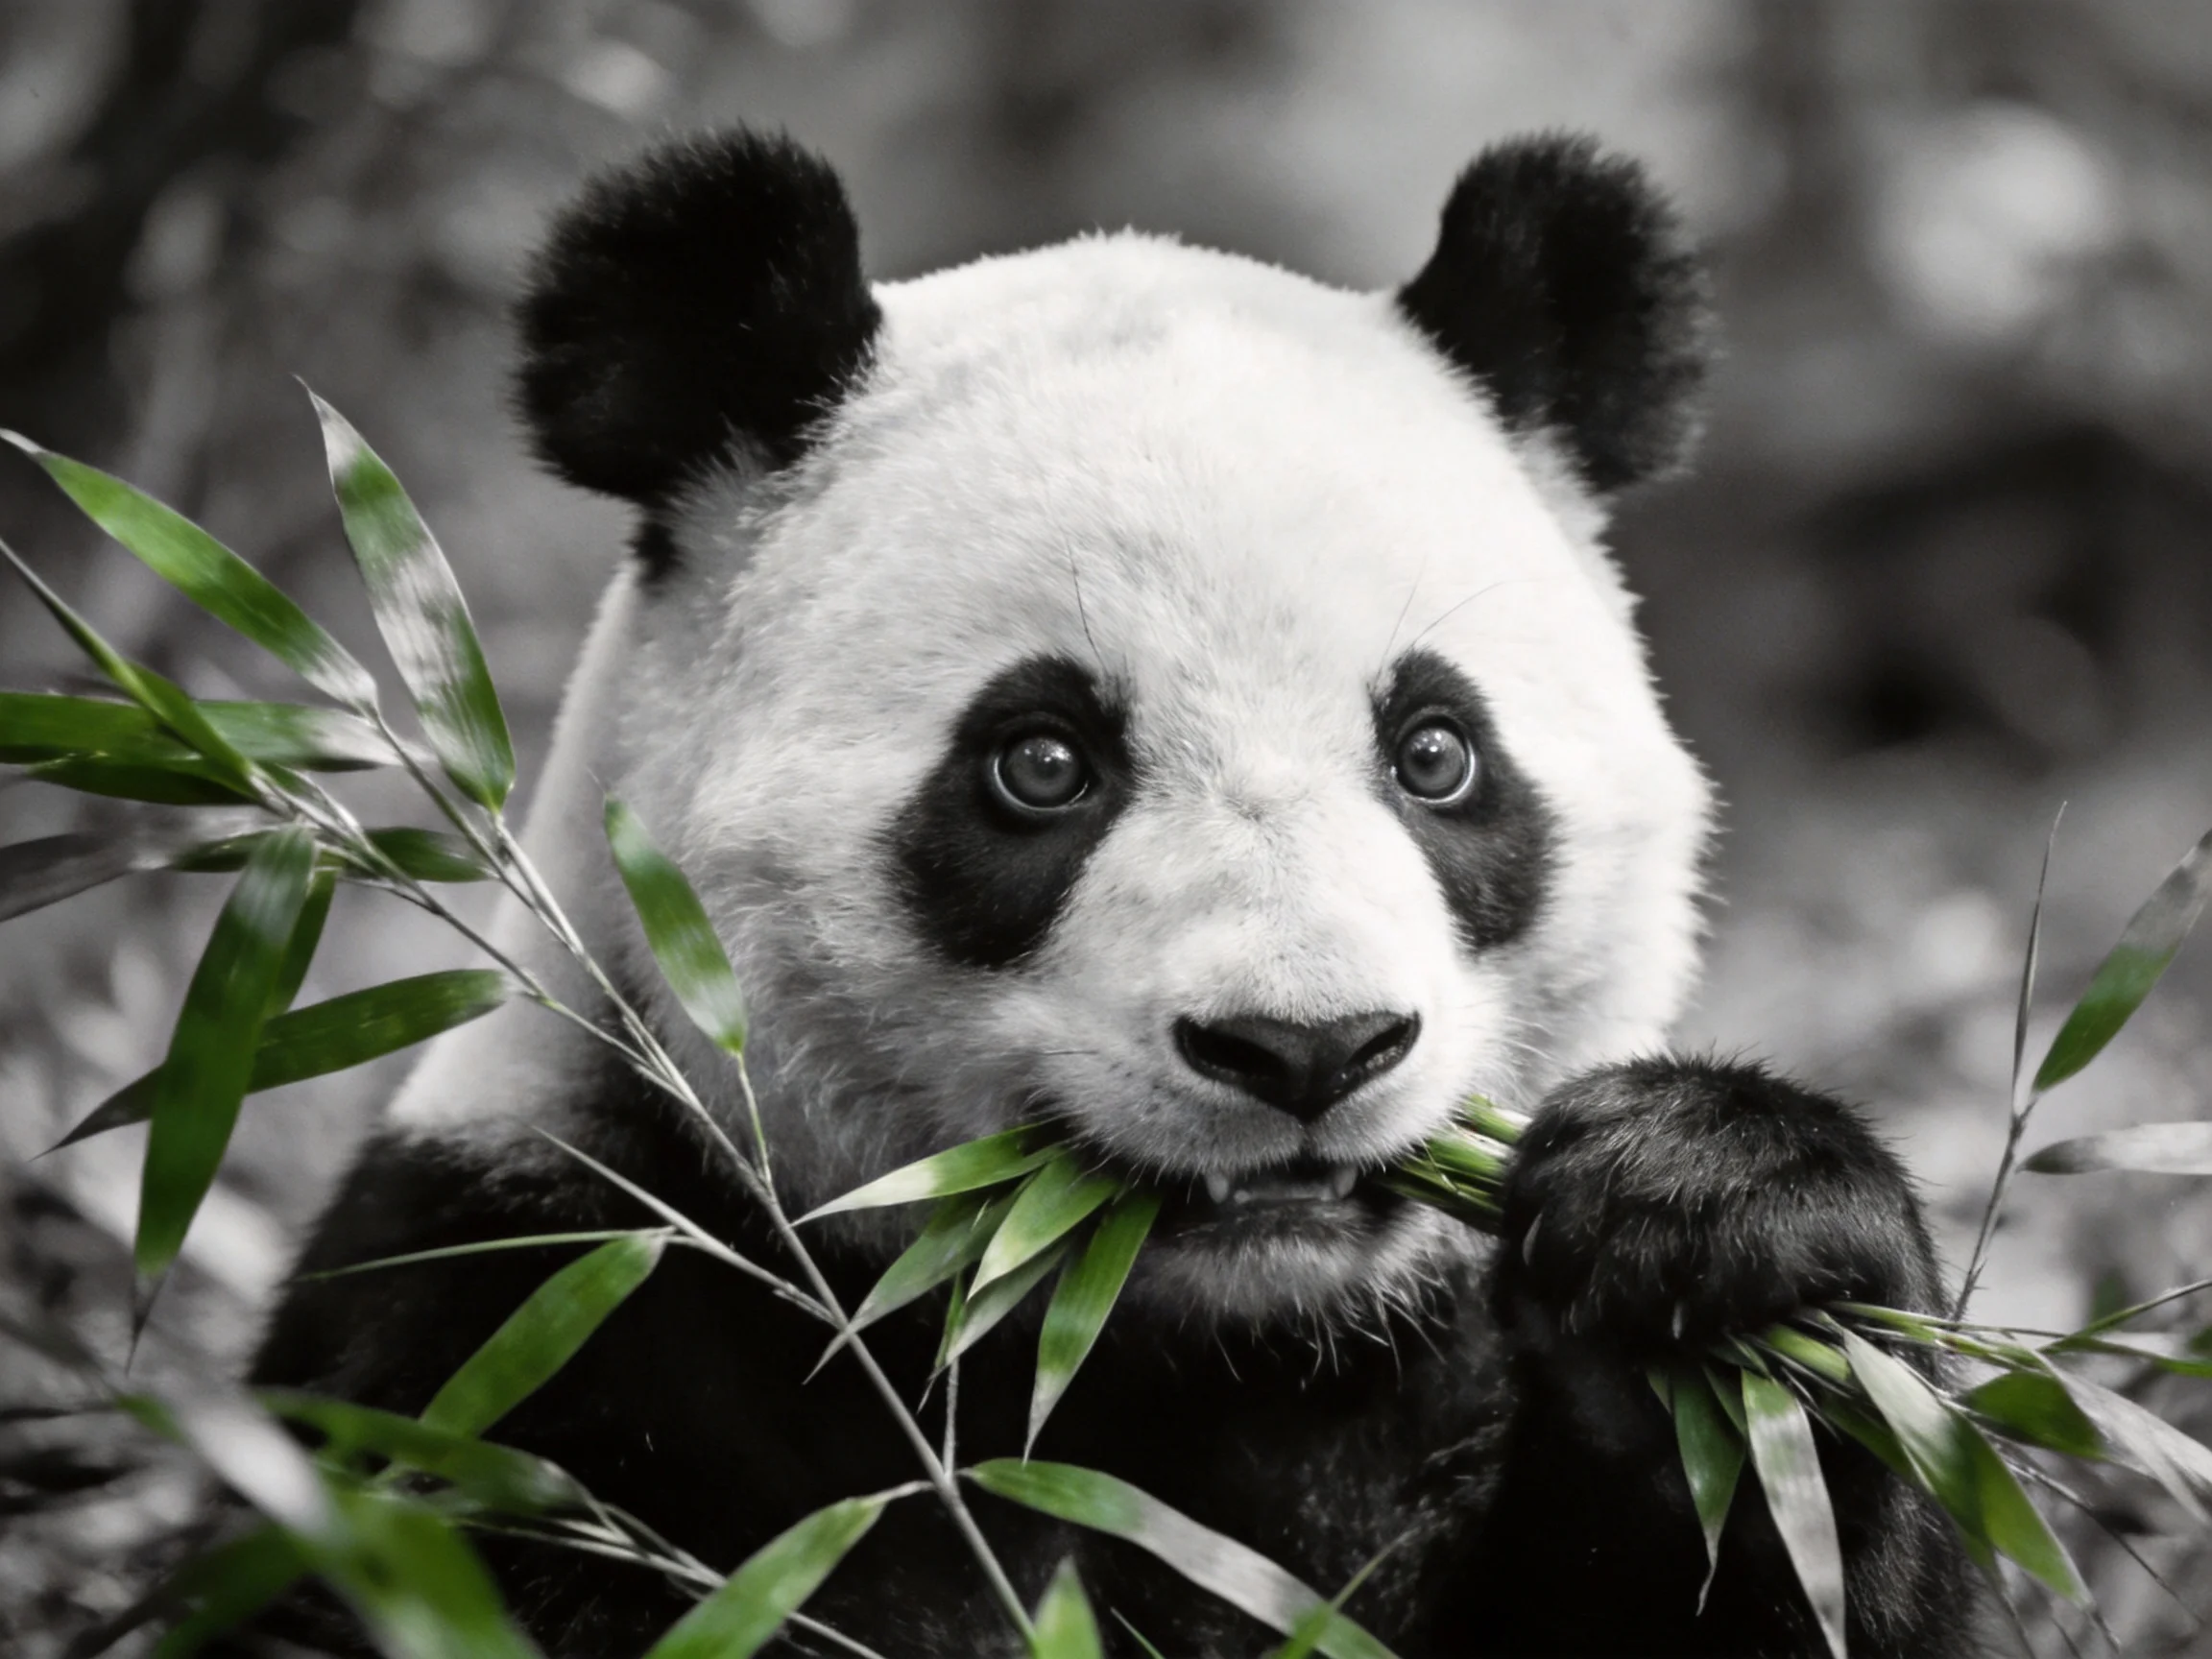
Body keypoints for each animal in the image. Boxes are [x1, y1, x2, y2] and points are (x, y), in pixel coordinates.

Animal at [250, 129, 1976, 1657]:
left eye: (1434, 753)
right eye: (1041, 763)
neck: (1200, 1342)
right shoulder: (532, 1326)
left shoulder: (1434, 1369)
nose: (1307, 1049)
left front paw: (1710, 1225)